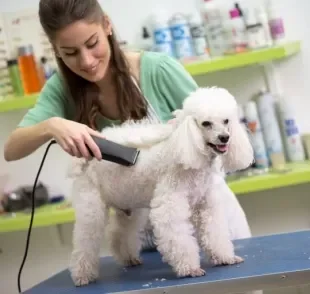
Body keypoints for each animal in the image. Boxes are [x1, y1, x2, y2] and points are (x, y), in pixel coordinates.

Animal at [68, 86, 254, 286]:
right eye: (206, 123)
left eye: (226, 121)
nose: (225, 137)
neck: (188, 151)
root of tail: (87, 158)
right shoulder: (170, 205)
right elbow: (179, 238)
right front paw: (189, 269)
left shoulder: (206, 205)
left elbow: (215, 233)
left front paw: (225, 258)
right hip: (91, 209)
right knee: (85, 241)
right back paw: (83, 275)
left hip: (129, 206)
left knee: (120, 233)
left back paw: (128, 258)